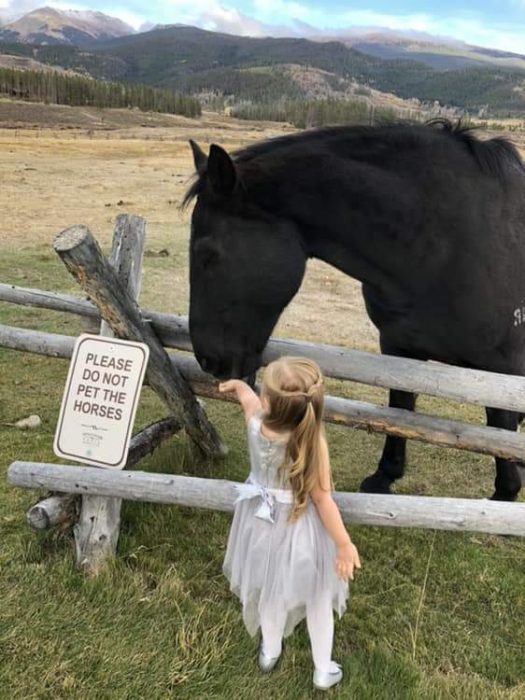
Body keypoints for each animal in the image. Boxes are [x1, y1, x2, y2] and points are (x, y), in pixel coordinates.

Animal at [183, 121, 524, 504]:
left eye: (208, 253)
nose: (208, 359)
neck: (450, 246)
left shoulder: (501, 369)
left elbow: (500, 428)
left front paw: (505, 494)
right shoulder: (399, 348)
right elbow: (401, 408)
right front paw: (384, 476)